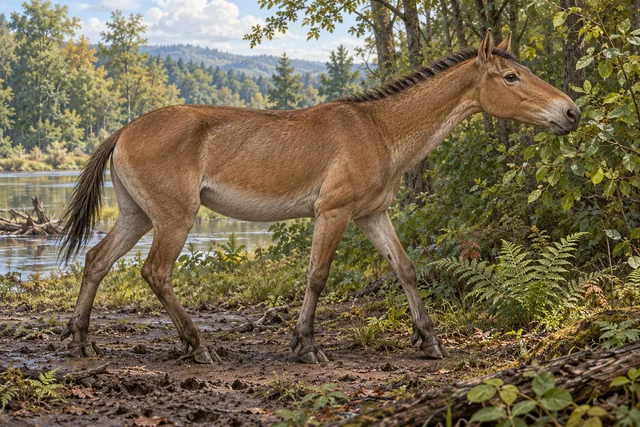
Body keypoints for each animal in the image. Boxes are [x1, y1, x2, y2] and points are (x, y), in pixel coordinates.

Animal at [58, 30, 580, 364]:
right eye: (511, 78)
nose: (571, 112)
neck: (379, 130)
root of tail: (123, 131)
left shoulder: (373, 215)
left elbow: (405, 268)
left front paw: (429, 340)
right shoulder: (334, 212)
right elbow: (317, 276)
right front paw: (306, 346)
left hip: (137, 216)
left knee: (97, 260)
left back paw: (82, 342)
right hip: (174, 218)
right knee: (156, 273)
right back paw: (199, 346)